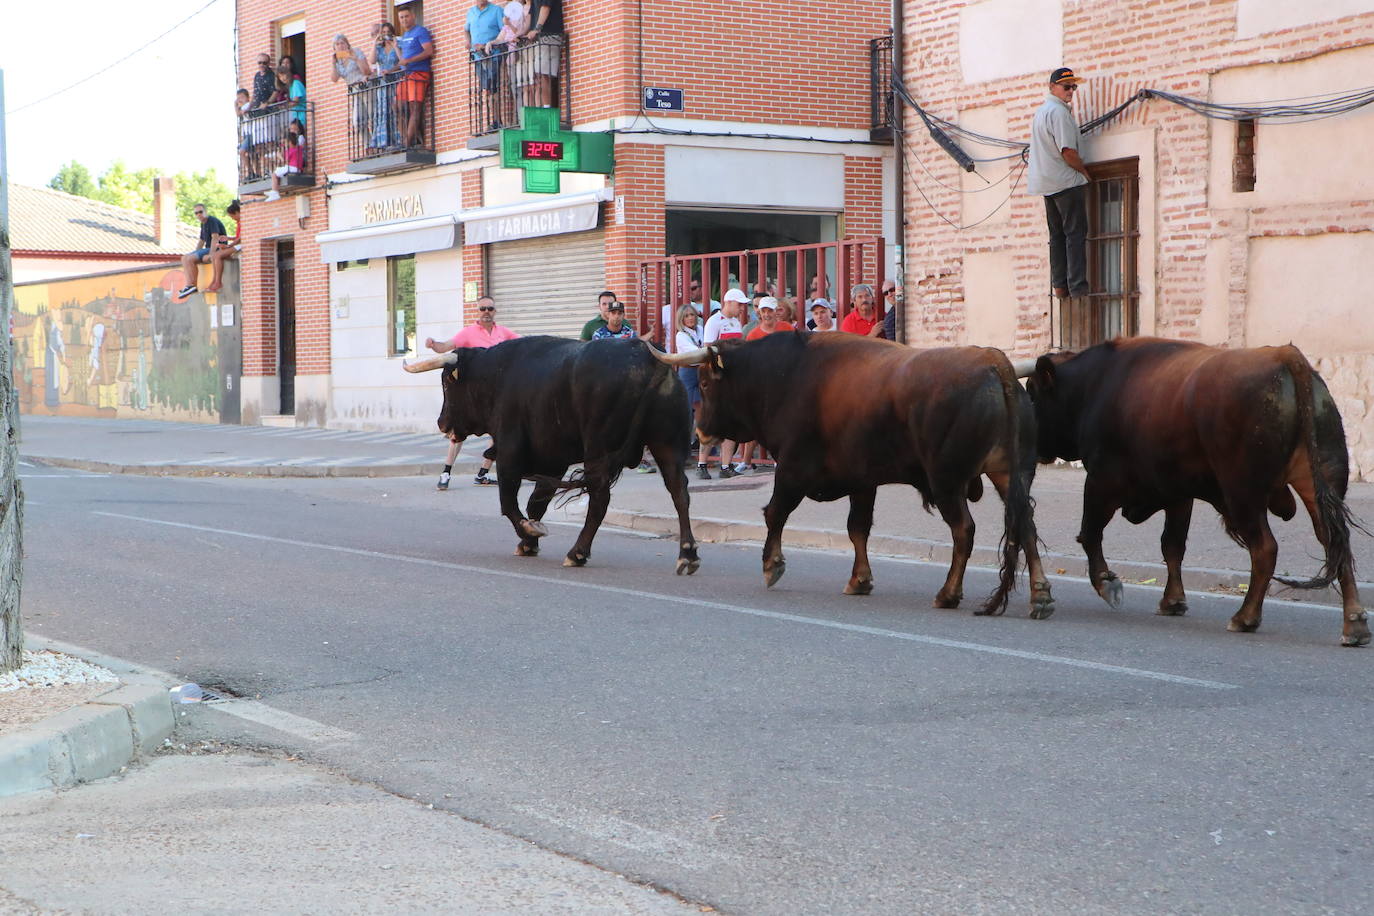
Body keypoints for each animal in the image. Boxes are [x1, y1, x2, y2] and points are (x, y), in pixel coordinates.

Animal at [401, 340, 697, 574]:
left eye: (446, 384)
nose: (441, 423)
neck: (495, 375)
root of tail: (648, 357)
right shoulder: (553, 461)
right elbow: (536, 503)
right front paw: (528, 542)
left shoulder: (509, 452)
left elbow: (509, 502)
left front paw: (529, 533)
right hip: (667, 445)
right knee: (679, 491)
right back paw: (687, 555)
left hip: (599, 450)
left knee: (600, 499)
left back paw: (577, 552)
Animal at [659, 329, 1055, 615]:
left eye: (705, 383)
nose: (700, 432)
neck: (784, 377)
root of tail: (994, 362)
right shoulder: (863, 480)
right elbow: (857, 528)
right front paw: (859, 580)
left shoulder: (791, 470)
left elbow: (775, 513)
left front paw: (772, 565)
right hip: (1012, 474)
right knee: (1026, 524)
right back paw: (1040, 595)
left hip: (947, 482)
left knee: (964, 530)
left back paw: (948, 593)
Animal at [1022, 335, 1363, 645]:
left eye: (1033, 394)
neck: (1093, 386)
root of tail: (1284, 356)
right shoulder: (1177, 493)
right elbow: (1172, 545)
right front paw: (1172, 600)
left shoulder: (1101, 482)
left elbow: (1090, 534)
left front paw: (1107, 583)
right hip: (1319, 482)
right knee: (1336, 541)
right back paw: (1355, 624)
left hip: (1243, 494)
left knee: (1265, 549)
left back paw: (1245, 617)